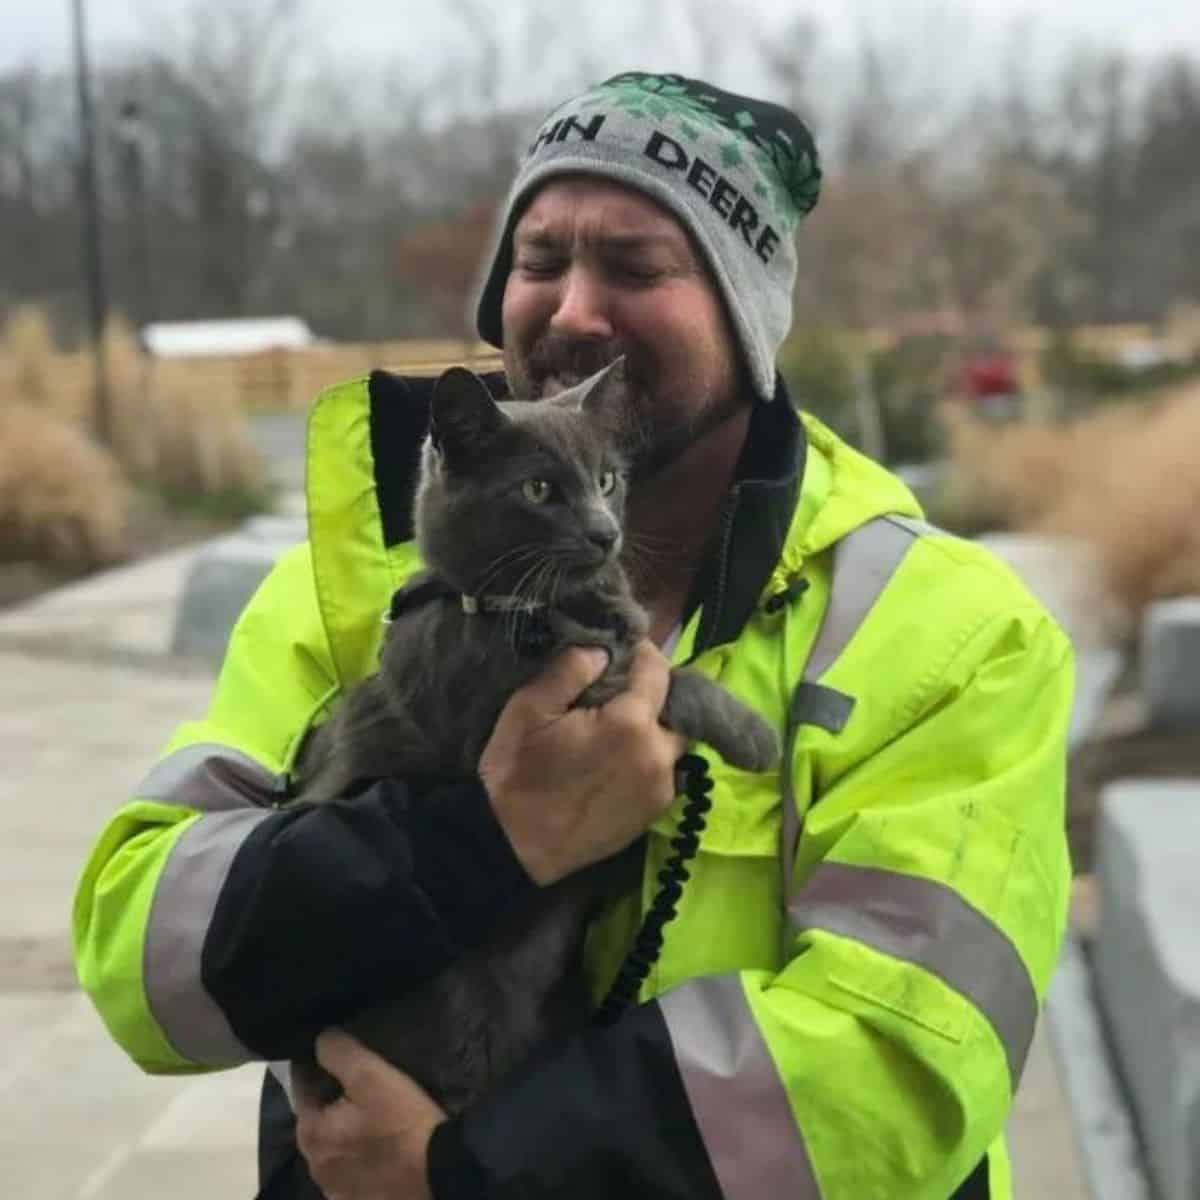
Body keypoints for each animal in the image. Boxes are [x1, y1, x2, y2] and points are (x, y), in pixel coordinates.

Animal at [290, 357, 777, 1113]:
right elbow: (667, 677)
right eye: (540, 489)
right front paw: (754, 734)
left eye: (607, 479)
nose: (605, 532)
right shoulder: (503, 709)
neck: (529, 609)